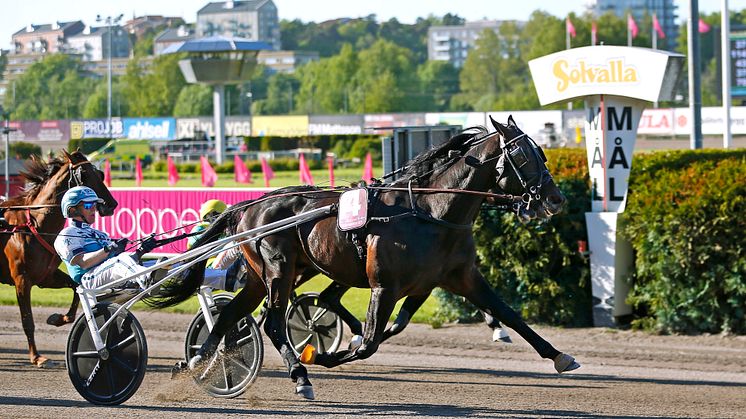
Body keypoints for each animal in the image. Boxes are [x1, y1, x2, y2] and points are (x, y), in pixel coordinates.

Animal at [0, 151, 116, 368]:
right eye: (84, 175)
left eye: (100, 173)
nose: (112, 204)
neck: (32, 225)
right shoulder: (22, 279)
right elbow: (27, 321)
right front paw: (37, 357)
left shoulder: (46, 276)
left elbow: (75, 288)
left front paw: (57, 318)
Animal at [151, 116, 580, 398]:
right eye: (523, 156)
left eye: (541, 152)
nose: (555, 199)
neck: (431, 212)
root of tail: (249, 206)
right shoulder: (384, 286)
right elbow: (369, 342)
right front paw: (323, 356)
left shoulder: (456, 278)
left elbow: (508, 313)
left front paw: (560, 356)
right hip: (279, 271)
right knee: (272, 322)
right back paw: (299, 374)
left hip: (262, 276)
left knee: (229, 315)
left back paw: (200, 363)